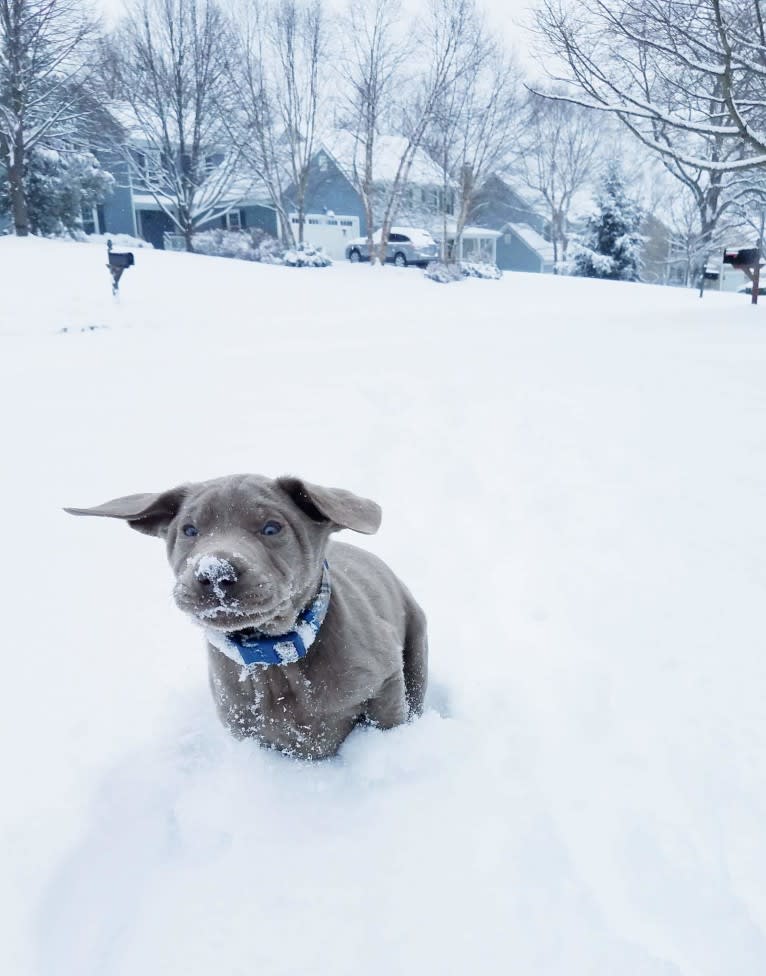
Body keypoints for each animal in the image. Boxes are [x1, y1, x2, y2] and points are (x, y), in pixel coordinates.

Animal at [65, 476, 426, 760]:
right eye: (189, 530)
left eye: (271, 528)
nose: (213, 571)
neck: (274, 654)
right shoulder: (246, 728)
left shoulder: (385, 684)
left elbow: (390, 717)